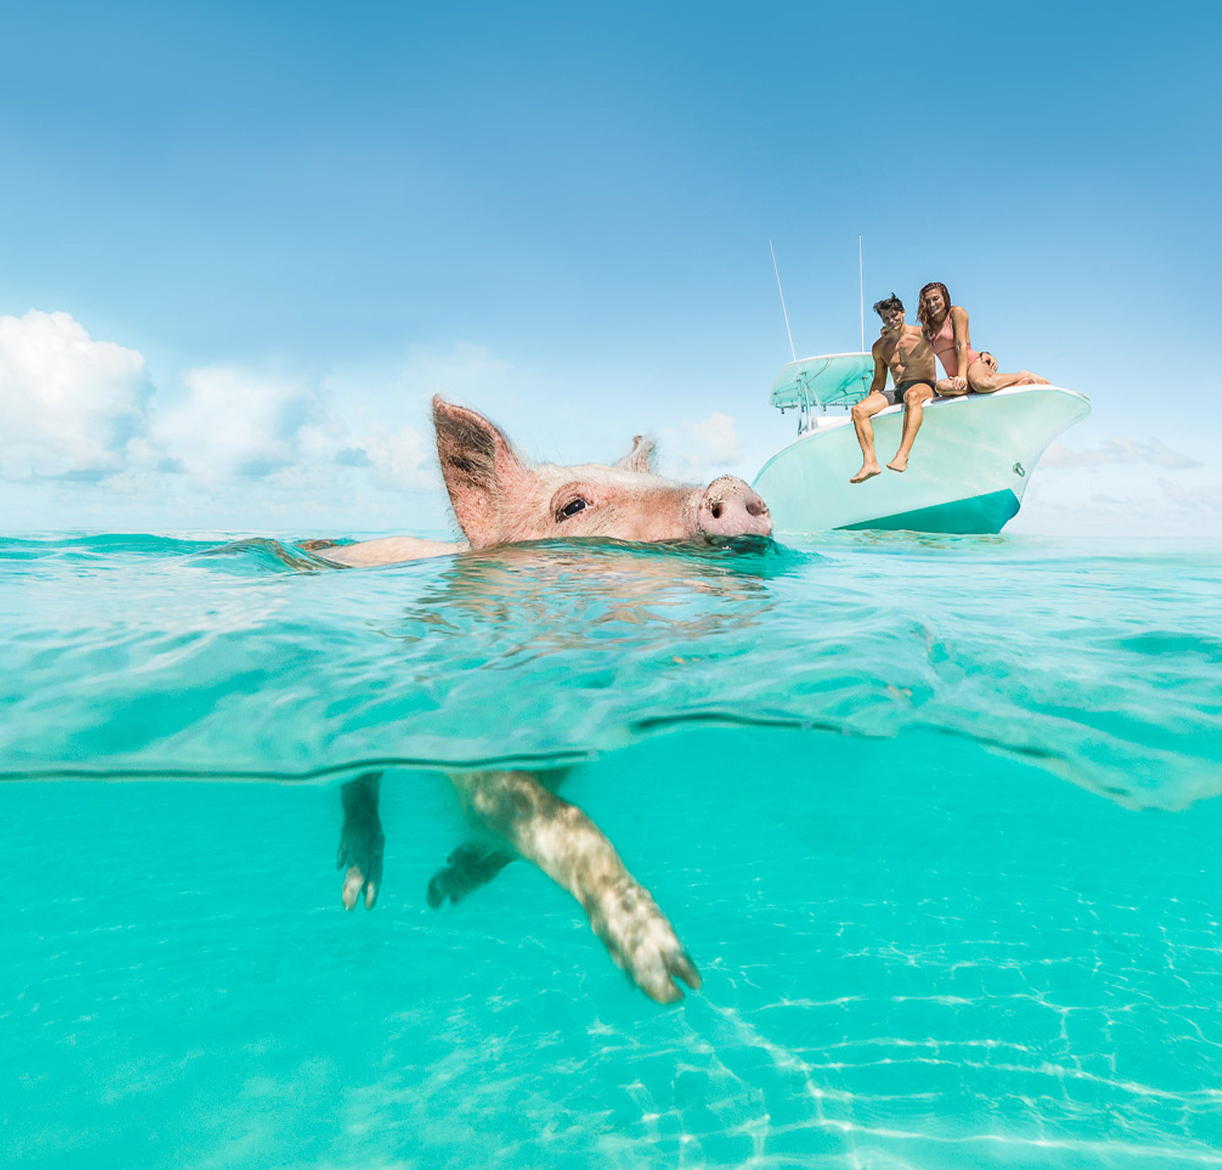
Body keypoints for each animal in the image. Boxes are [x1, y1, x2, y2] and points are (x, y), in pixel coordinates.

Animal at [327, 397, 772, 1004]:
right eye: (572, 506)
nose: (731, 485)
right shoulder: (470, 743)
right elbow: (567, 823)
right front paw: (673, 978)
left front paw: (443, 888)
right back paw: (358, 895)